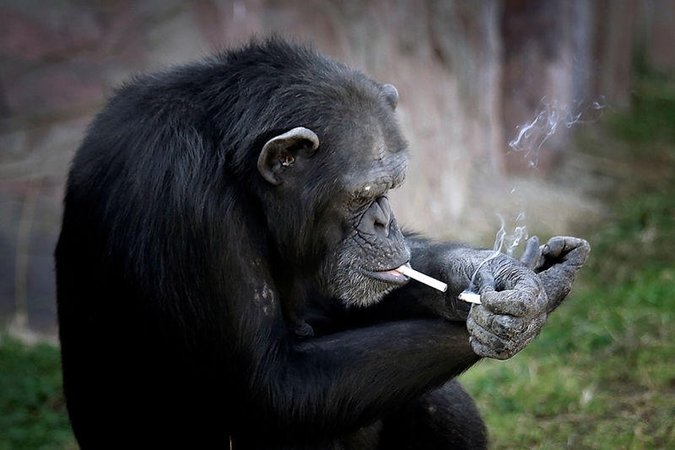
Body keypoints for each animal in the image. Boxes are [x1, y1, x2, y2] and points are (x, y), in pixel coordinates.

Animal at [55, 38, 588, 450]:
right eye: (361, 196)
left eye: (392, 187)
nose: (384, 222)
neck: (233, 165)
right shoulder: (185, 200)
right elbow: (275, 389)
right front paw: (531, 303)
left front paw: (504, 281)